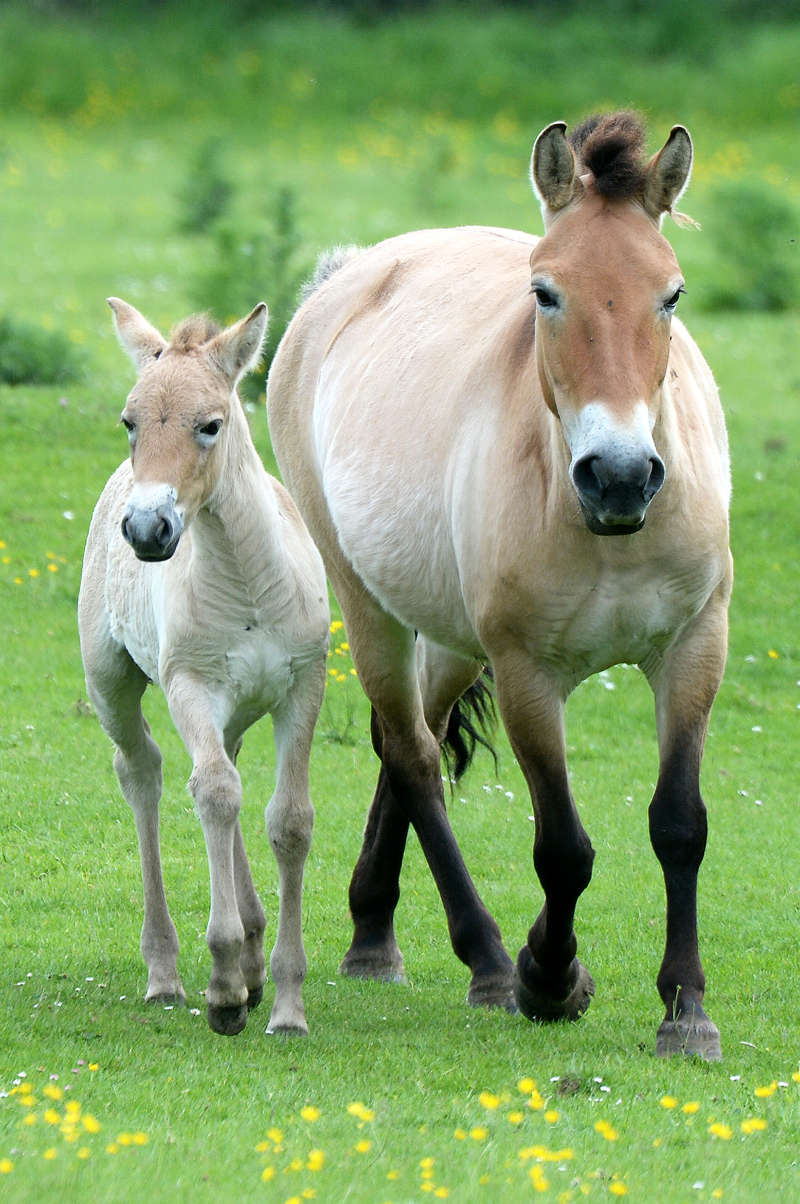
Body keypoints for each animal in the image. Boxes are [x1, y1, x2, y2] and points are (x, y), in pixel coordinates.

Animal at [78, 300, 329, 1037]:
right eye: (129, 422)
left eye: (210, 425)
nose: (146, 530)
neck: (249, 588)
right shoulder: (190, 686)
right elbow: (213, 793)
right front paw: (222, 987)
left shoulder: (303, 687)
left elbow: (288, 819)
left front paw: (286, 1003)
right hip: (110, 683)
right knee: (146, 773)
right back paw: (168, 972)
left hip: (241, 708)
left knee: (231, 773)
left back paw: (252, 954)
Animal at [267, 112, 732, 1059]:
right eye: (545, 293)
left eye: (671, 295)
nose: (620, 476)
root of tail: (343, 279)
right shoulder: (526, 673)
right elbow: (563, 850)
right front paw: (550, 976)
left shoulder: (695, 648)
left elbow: (680, 824)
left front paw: (686, 1010)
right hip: (367, 604)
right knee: (412, 754)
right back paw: (482, 957)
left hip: (448, 634)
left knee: (405, 735)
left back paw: (374, 934)